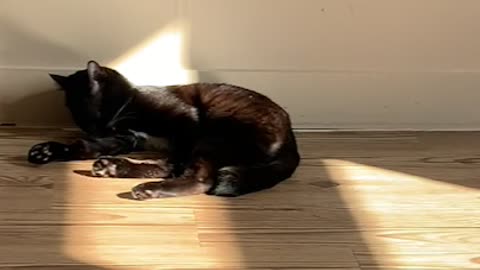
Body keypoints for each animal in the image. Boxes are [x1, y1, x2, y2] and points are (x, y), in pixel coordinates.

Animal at [27, 61, 300, 200]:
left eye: (90, 113)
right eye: (77, 118)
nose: (93, 130)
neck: (130, 106)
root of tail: (291, 139)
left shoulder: (187, 122)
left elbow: (178, 161)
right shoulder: (123, 139)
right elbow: (85, 147)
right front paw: (48, 150)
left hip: (213, 136)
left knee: (200, 178)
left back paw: (149, 187)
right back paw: (114, 167)